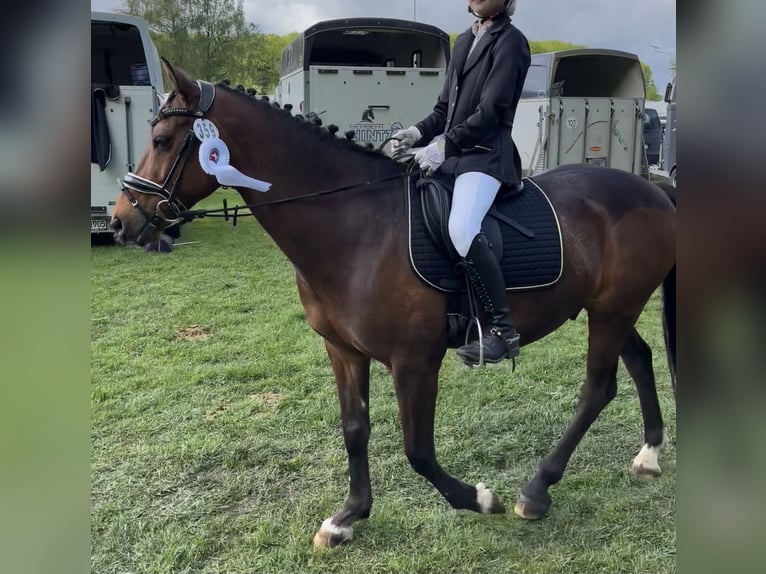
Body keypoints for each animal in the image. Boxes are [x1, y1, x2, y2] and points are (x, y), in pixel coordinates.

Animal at [110, 60, 676, 549]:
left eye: (162, 141)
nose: (121, 222)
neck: (356, 225)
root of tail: (650, 190)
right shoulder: (343, 351)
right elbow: (355, 431)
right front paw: (346, 518)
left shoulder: (414, 361)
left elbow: (417, 451)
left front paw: (480, 498)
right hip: (609, 309)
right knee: (639, 360)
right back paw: (648, 454)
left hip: (613, 310)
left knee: (598, 388)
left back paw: (536, 490)